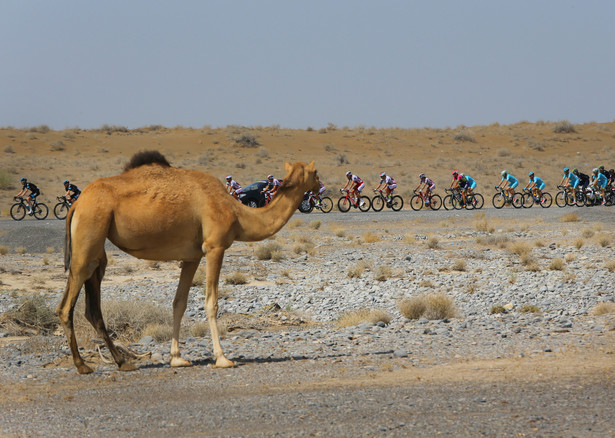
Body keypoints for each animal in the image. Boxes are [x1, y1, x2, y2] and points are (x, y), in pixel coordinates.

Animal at [60, 151, 322, 372]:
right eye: (316, 172)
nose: (321, 188)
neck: (238, 214)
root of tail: (77, 204)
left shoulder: (192, 256)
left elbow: (179, 303)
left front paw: (177, 358)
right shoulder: (215, 246)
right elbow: (211, 303)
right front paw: (223, 358)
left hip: (96, 252)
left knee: (92, 308)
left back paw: (122, 362)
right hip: (88, 238)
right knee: (66, 307)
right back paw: (83, 365)